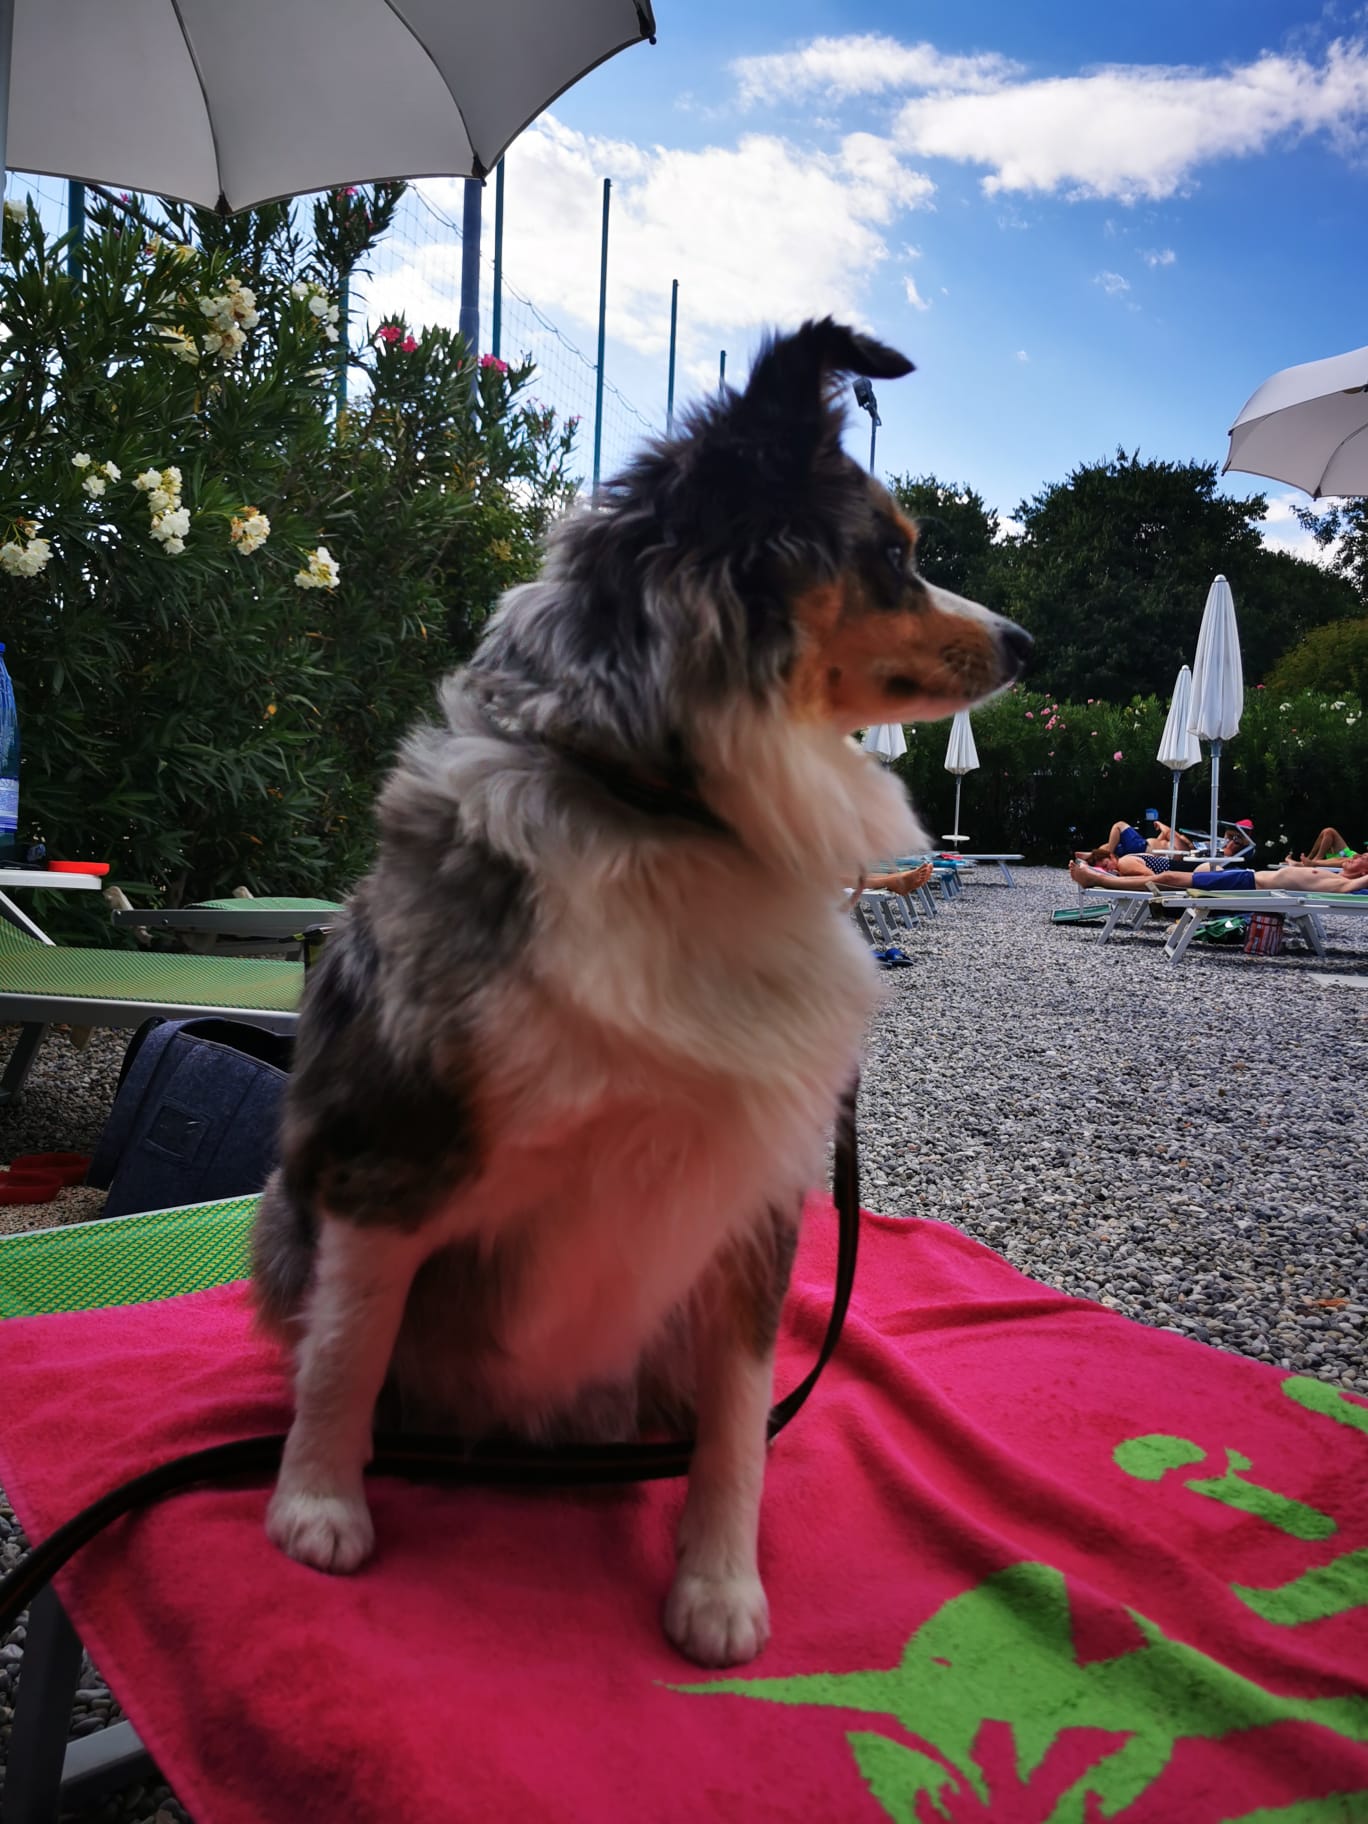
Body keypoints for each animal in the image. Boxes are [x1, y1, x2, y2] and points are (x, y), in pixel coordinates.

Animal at [255, 317, 1028, 1670]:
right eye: (892, 553)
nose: (1029, 645)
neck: (671, 811)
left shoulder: (754, 1184)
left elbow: (737, 1421)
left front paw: (718, 1588)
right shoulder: (393, 1139)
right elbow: (350, 1343)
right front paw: (320, 1507)